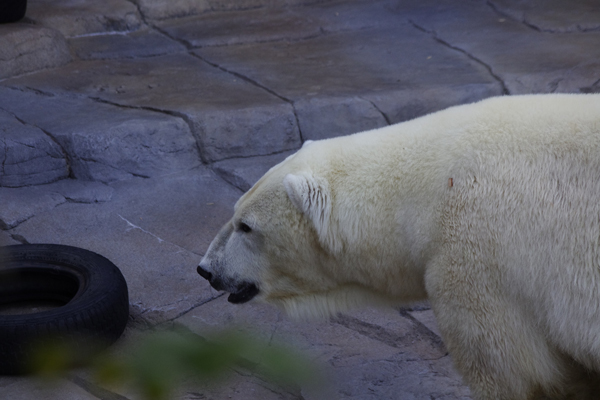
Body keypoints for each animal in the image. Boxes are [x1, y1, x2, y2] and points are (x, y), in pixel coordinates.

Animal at [199, 94, 600, 400]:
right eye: (235, 213)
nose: (206, 269)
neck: (431, 188)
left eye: (246, 226)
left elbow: (513, 374)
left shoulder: (482, 263)